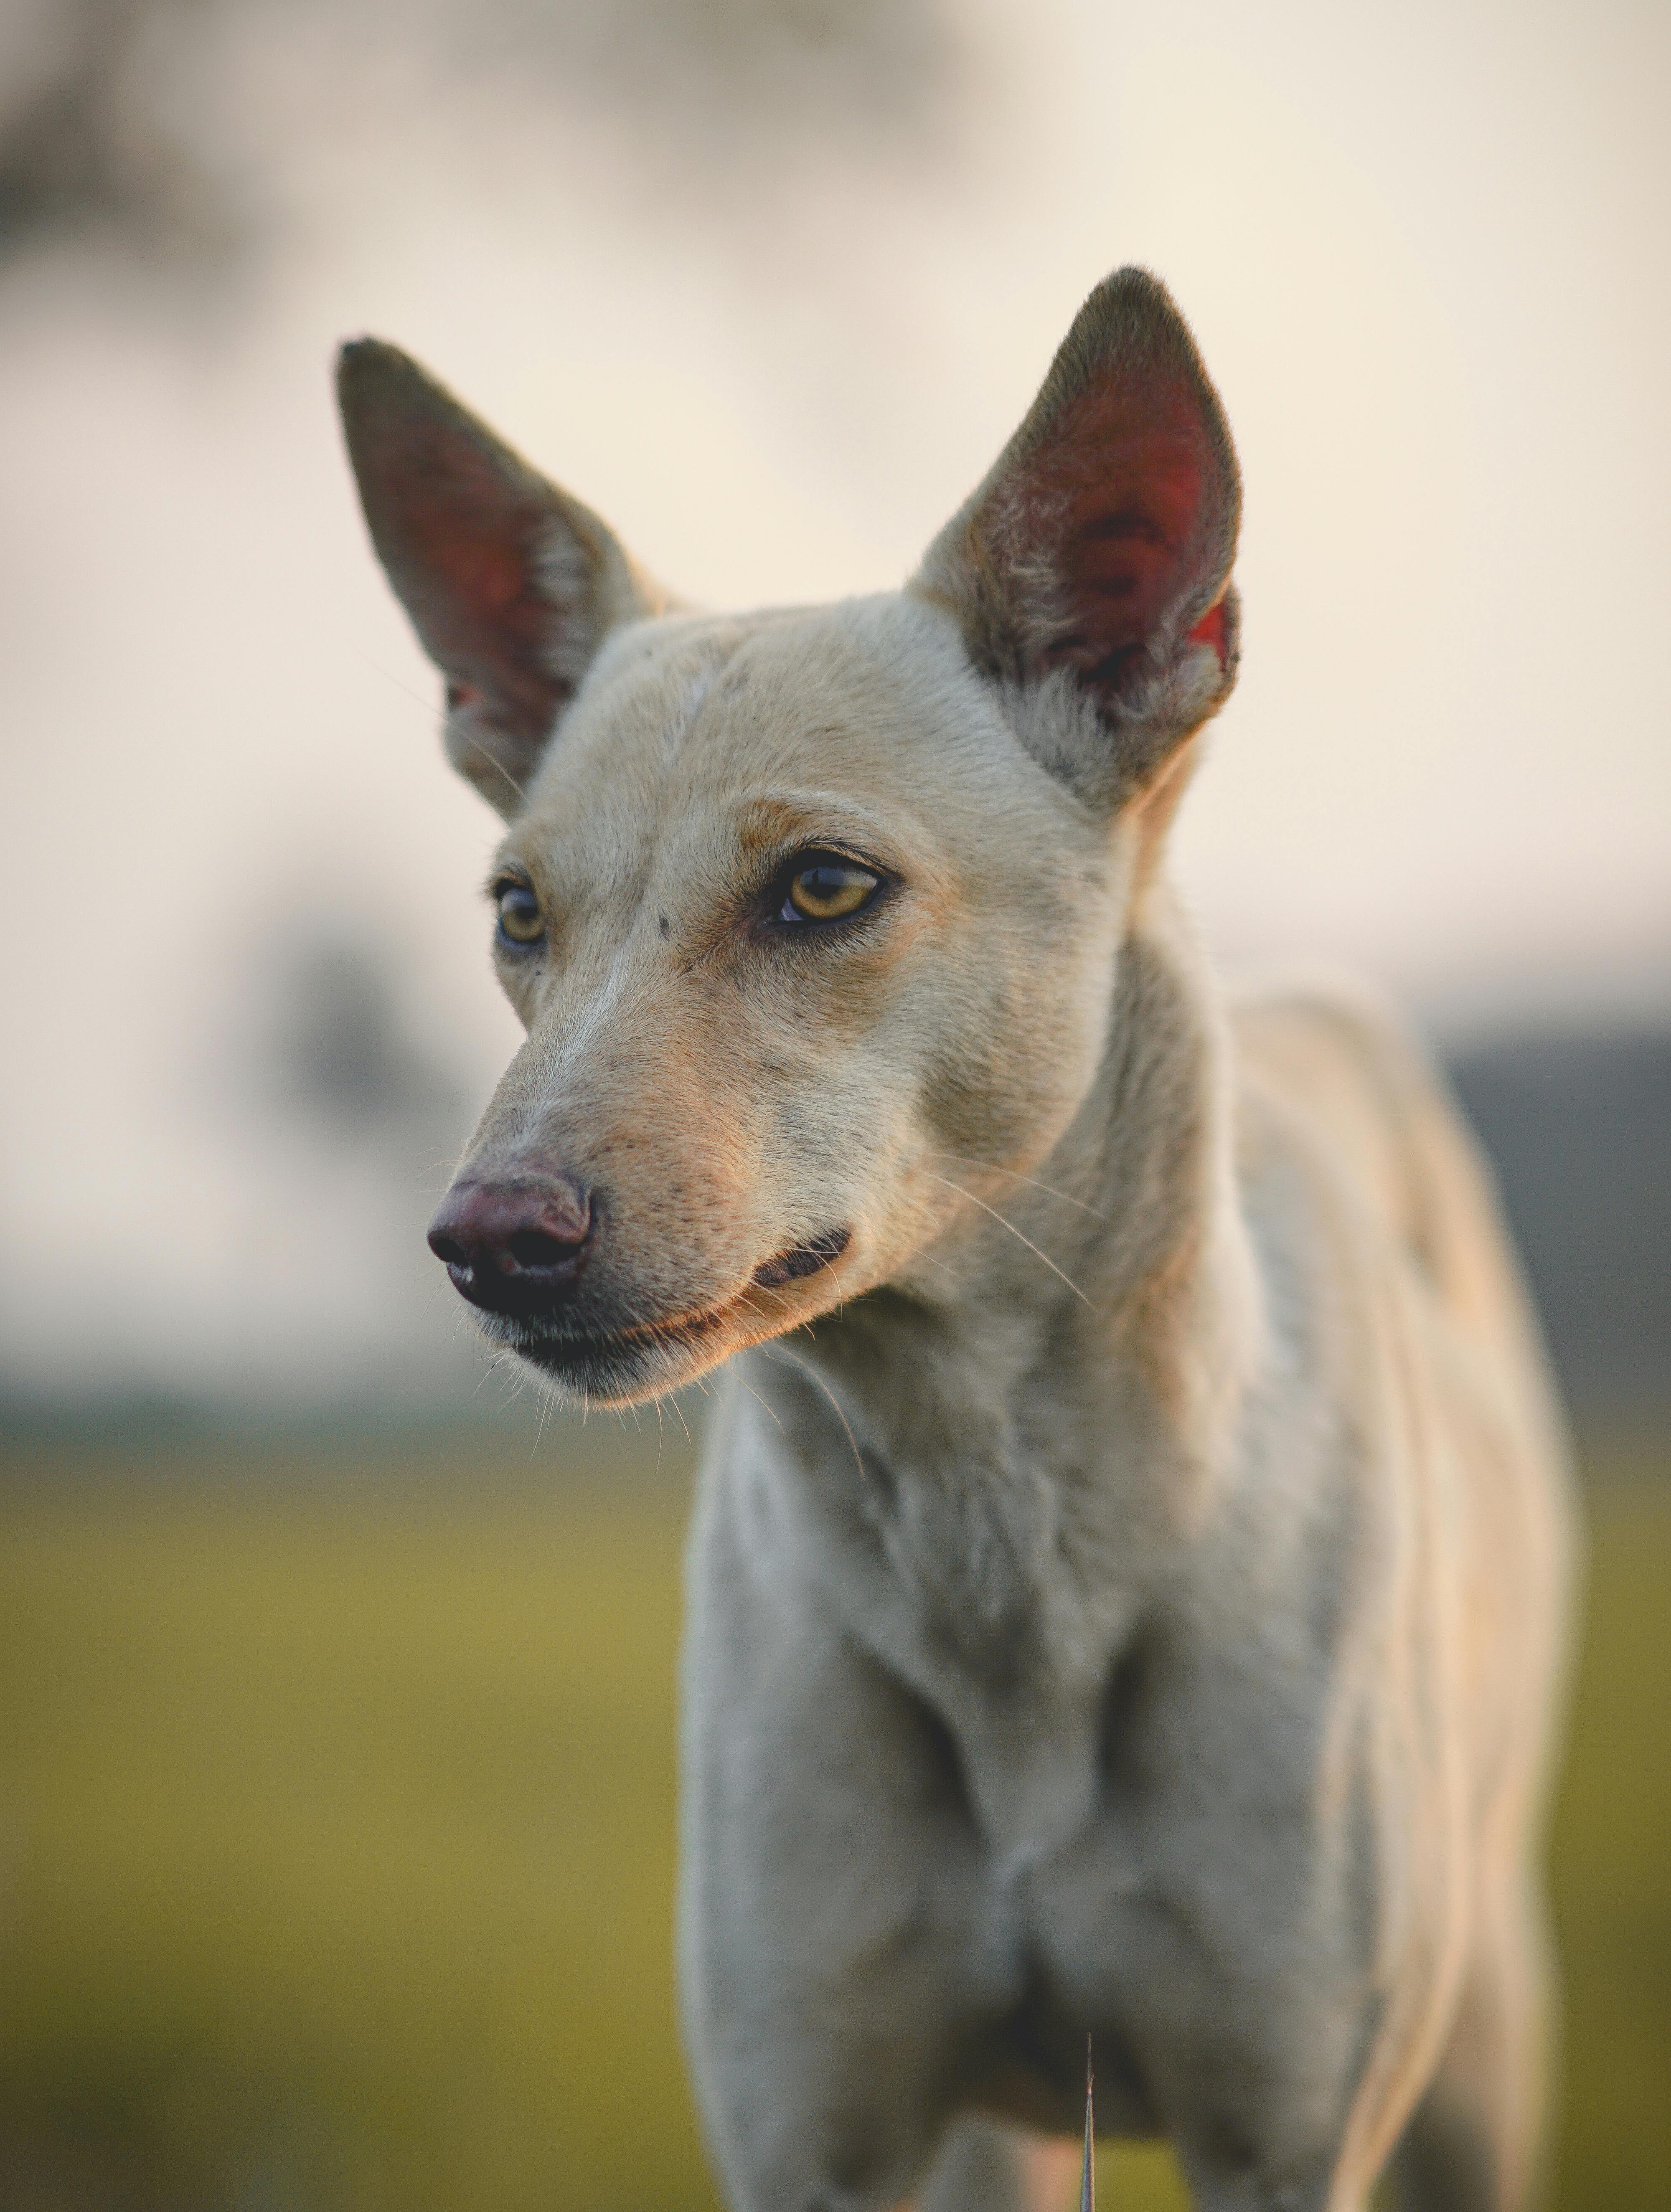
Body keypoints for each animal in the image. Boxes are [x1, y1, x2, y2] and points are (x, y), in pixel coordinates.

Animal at [343, 267, 1585, 2203]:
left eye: (822, 887)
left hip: (1475, 2046)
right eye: (517, 912)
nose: (485, 1239)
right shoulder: (815, 2119)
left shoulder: (1286, 2130)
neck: (988, 1546)